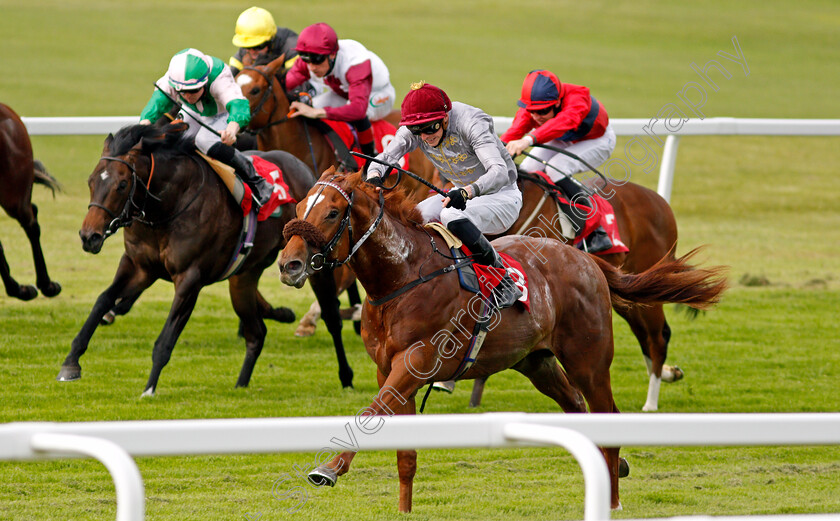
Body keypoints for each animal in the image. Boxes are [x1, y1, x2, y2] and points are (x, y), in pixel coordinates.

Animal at [55, 122, 352, 396]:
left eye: (122, 184)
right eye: (91, 181)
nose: (89, 236)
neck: (169, 207)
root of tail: (307, 170)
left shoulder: (190, 279)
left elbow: (166, 339)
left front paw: (149, 388)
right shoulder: (139, 267)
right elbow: (102, 301)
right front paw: (71, 363)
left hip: (315, 265)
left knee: (332, 318)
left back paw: (346, 376)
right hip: (243, 278)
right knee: (256, 333)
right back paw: (242, 383)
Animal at [278, 168, 728, 512]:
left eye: (332, 212)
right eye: (299, 208)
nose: (289, 265)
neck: (403, 276)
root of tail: (586, 258)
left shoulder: (415, 362)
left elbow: (371, 411)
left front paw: (328, 468)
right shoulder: (387, 368)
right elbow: (404, 450)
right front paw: (404, 510)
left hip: (589, 360)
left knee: (610, 411)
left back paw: (613, 500)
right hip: (538, 362)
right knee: (577, 407)